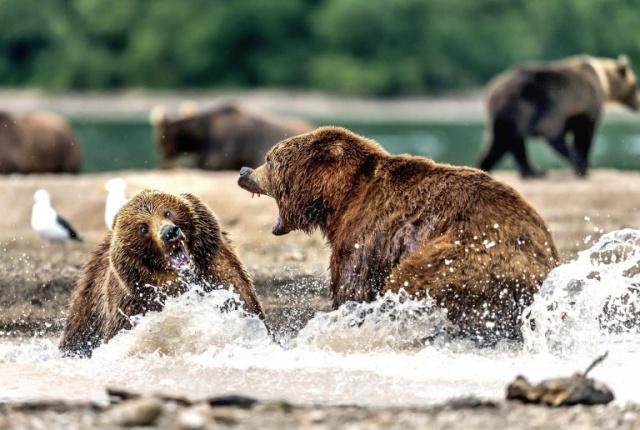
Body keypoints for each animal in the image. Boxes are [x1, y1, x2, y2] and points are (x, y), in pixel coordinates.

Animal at [238, 126, 559, 343]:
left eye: (269, 159)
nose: (243, 171)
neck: (339, 200)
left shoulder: (366, 234)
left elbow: (352, 285)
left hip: (465, 256)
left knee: (415, 279)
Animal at [479, 55, 639, 178]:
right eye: (636, 85)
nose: (638, 102)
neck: (604, 80)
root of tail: (491, 90)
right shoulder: (587, 105)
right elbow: (584, 135)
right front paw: (584, 166)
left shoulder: (574, 112)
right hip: (530, 105)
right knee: (533, 137)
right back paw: (543, 169)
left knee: (501, 142)